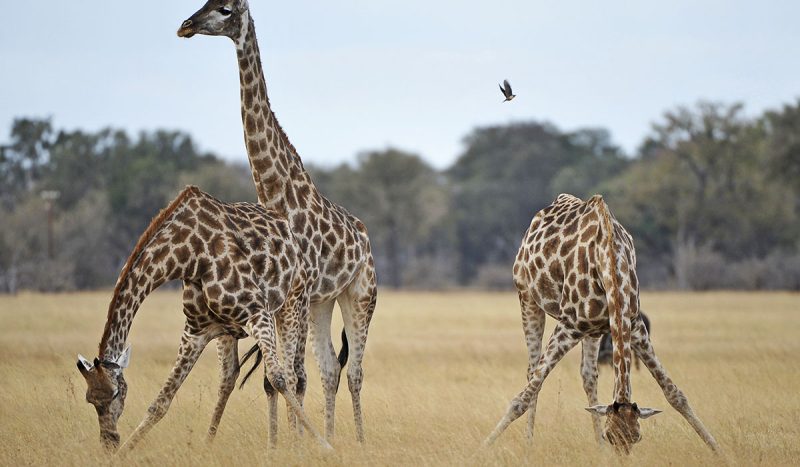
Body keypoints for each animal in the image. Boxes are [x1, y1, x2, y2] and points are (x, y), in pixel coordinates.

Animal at [75, 186, 330, 452]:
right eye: (89, 399)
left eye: (116, 392)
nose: (109, 441)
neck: (189, 256)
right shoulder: (196, 331)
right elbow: (161, 402)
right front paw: (124, 453)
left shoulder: (257, 313)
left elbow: (278, 377)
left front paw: (325, 447)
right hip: (232, 330)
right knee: (232, 377)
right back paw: (263, 447)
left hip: (293, 304)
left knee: (291, 375)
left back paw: (295, 443)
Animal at [178, 0, 378, 443]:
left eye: (224, 9)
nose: (185, 26)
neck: (275, 195)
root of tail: (364, 236)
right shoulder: (285, 298)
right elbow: (278, 378)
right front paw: (282, 444)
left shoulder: (295, 295)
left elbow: (294, 377)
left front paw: (296, 444)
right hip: (322, 303)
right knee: (330, 370)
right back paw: (330, 436)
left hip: (360, 295)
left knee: (354, 372)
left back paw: (358, 441)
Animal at [484, 194, 719, 454]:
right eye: (610, 436)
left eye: (637, 437)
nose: (619, 455)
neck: (611, 262)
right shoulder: (569, 324)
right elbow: (522, 398)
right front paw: (482, 448)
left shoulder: (634, 325)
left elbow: (675, 393)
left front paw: (719, 450)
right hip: (527, 297)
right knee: (532, 371)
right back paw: (529, 444)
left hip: (594, 330)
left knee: (588, 375)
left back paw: (596, 449)